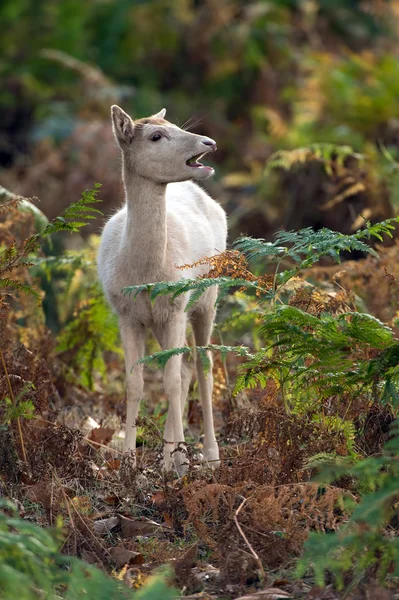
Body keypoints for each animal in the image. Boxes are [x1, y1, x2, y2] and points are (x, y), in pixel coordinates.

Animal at [97, 105, 228, 476]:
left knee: (203, 366)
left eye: (172, 124)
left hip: (206, 297)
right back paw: (170, 455)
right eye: (156, 135)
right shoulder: (126, 314)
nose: (208, 142)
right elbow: (135, 383)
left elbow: (169, 382)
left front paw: (181, 463)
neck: (145, 274)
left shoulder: (176, 308)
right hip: (163, 318)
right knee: (184, 369)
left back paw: (209, 455)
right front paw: (128, 461)